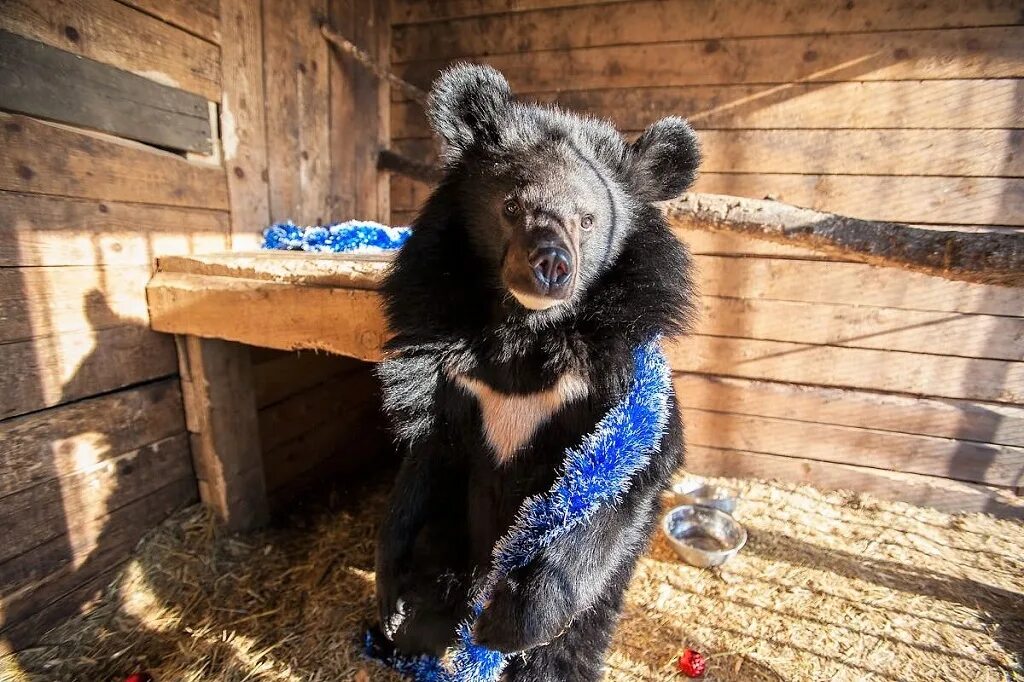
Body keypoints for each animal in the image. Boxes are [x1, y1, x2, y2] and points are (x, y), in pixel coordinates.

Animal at [372, 62, 700, 675]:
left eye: (588, 219)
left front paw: (507, 624)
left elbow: (622, 484)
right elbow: (425, 457)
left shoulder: (617, 381)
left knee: (573, 640)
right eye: (510, 207)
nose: (551, 266)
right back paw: (413, 634)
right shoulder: (443, 374)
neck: (525, 330)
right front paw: (391, 597)